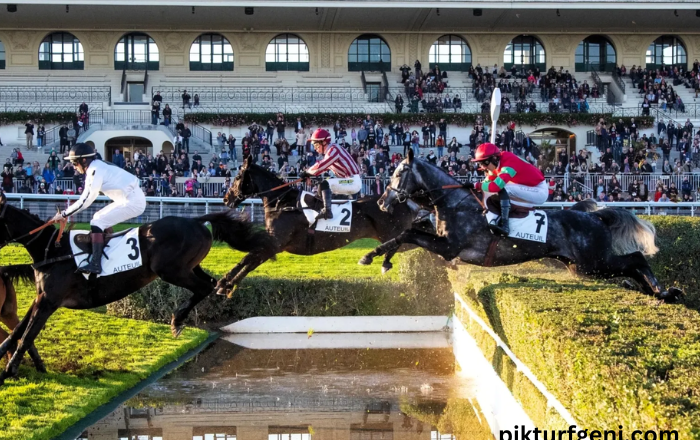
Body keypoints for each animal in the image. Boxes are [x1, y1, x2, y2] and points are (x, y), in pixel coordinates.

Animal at [0, 194, 274, 384]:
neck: (52, 252)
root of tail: (196, 221)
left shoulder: (50, 301)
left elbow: (27, 334)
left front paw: (9, 370)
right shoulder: (42, 298)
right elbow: (20, 328)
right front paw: (4, 354)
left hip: (170, 270)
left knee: (204, 287)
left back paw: (177, 319)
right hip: (188, 267)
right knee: (211, 283)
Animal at [219, 155, 430, 296]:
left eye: (237, 177)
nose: (226, 198)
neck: (282, 202)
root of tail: (403, 200)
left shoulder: (274, 245)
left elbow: (249, 260)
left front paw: (227, 284)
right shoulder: (270, 243)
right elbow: (246, 260)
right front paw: (224, 283)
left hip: (393, 236)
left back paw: (383, 261)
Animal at [360, 151, 684, 302]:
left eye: (399, 173)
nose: (383, 202)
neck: (453, 201)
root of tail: (595, 216)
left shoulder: (450, 247)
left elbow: (408, 232)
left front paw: (370, 256)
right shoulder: (439, 240)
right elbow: (407, 234)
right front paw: (382, 259)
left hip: (594, 262)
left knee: (637, 258)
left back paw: (663, 291)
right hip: (582, 268)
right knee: (631, 267)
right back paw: (654, 292)